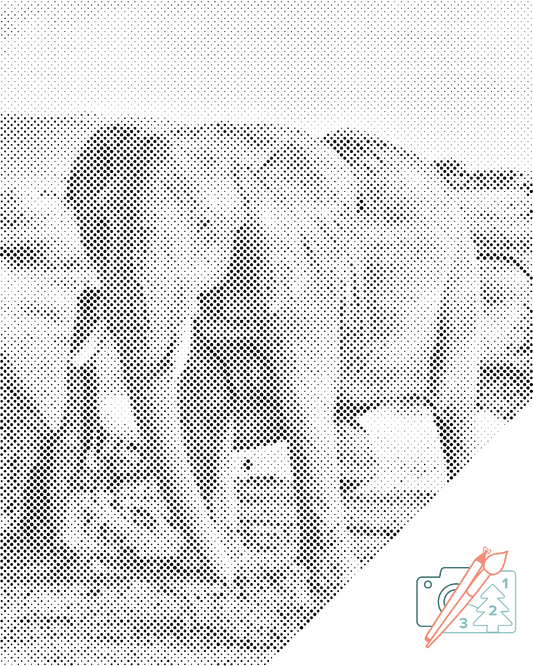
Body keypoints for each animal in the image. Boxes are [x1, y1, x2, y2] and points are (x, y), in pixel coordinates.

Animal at [66, 122, 482, 588]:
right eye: (93, 234)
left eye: (205, 226)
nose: (227, 572)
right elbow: (201, 411)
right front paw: (232, 566)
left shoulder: (299, 272)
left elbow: (301, 407)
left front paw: (331, 584)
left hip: (457, 280)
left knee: (449, 405)